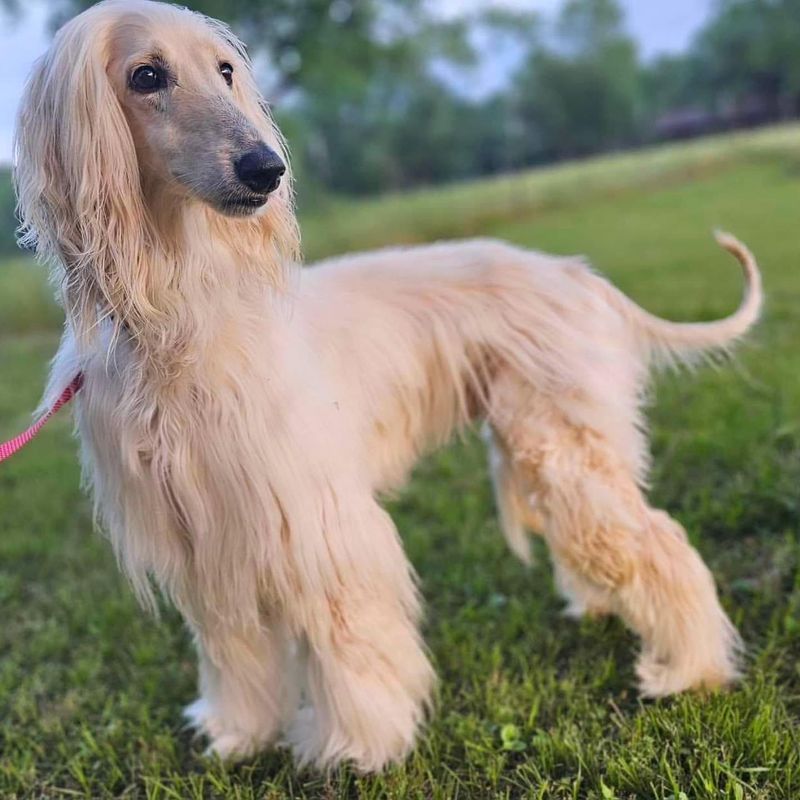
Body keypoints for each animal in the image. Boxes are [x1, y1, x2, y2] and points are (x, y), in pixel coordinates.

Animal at [14, 0, 764, 776]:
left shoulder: (313, 518)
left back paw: (688, 670)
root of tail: (577, 276)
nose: (266, 169)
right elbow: (233, 646)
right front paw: (239, 733)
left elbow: (350, 636)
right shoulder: (206, 534)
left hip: (562, 447)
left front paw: (356, 747)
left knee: (659, 541)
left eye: (224, 70)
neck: (180, 321)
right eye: (146, 76)